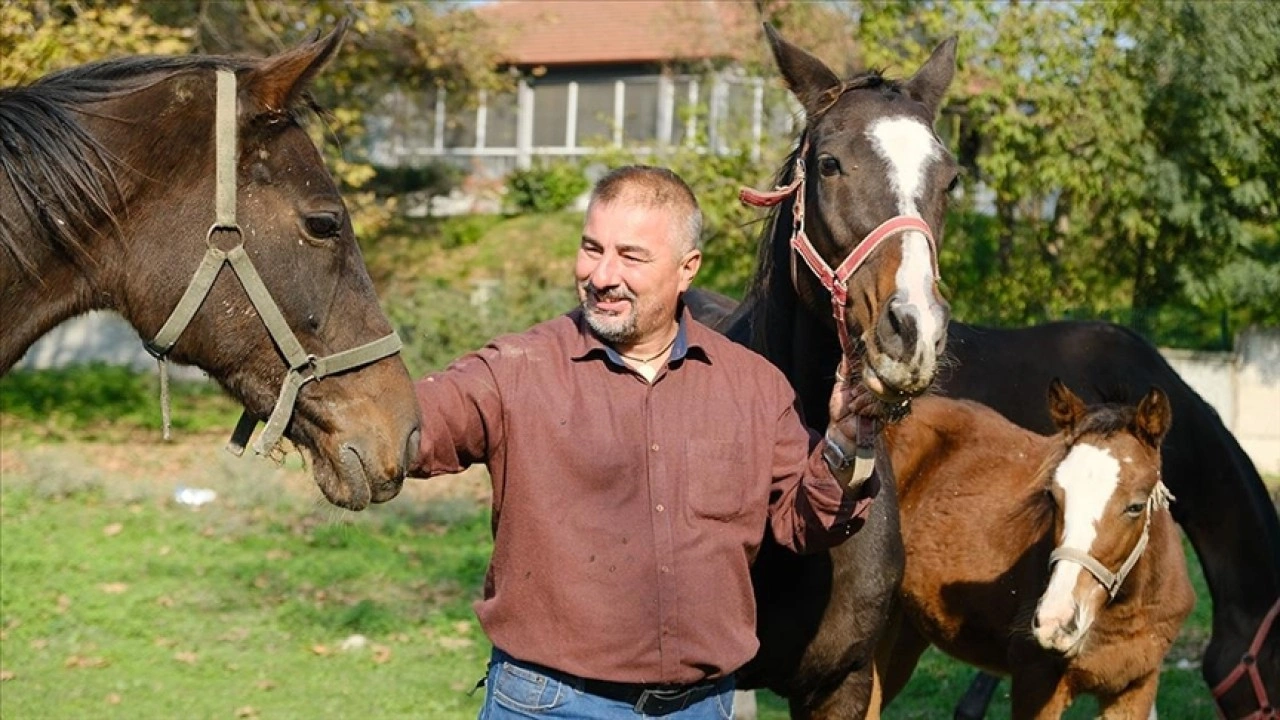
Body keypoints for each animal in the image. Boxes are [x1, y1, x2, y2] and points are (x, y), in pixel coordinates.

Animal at [875, 381, 1192, 712]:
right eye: (1053, 496)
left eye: (1136, 506)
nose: (1056, 622)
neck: (1124, 611)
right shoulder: (1036, 681)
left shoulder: (1137, 687)